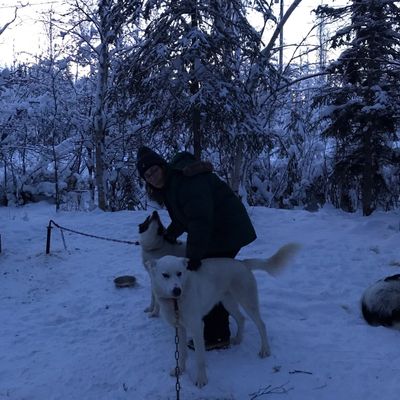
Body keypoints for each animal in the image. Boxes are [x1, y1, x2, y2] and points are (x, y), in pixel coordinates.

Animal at [146, 243, 300, 387]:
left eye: (179, 273)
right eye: (165, 275)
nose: (177, 290)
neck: (176, 302)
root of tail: (243, 263)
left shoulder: (197, 327)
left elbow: (200, 359)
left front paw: (201, 379)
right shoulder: (179, 328)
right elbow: (182, 354)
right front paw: (180, 370)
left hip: (248, 302)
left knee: (261, 325)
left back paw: (265, 350)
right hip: (228, 303)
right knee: (241, 319)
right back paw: (238, 339)